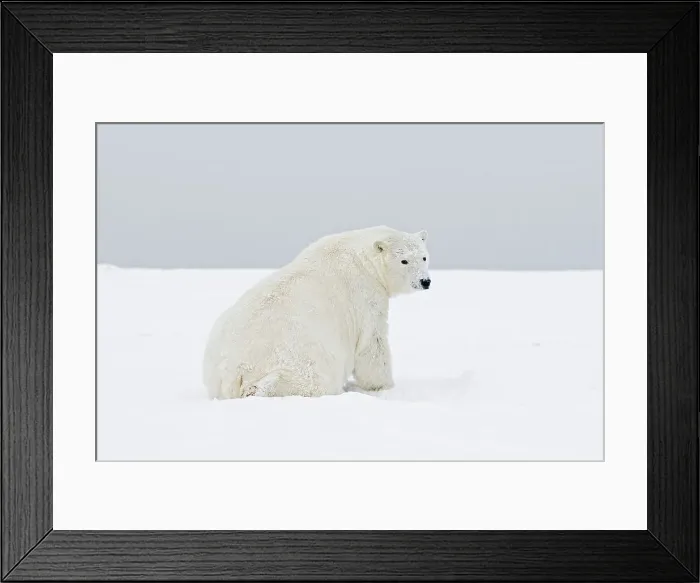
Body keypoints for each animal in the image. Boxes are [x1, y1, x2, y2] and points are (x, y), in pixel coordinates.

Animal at [202, 226, 431, 399]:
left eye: (424, 257)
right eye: (404, 260)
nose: (425, 281)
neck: (362, 257)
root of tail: (232, 371)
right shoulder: (366, 296)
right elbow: (372, 345)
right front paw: (384, 385)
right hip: (301, 357)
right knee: (309, 379)